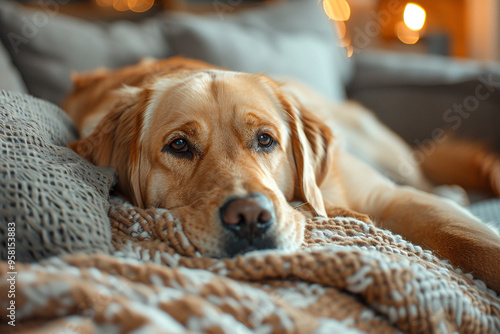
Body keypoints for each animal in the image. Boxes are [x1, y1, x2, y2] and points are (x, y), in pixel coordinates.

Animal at [62, 58, 500, 294]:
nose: (249, 218)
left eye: (265, 139)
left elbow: (468, 239)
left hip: (378, 146)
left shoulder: (389, 197)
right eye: (180, 145)